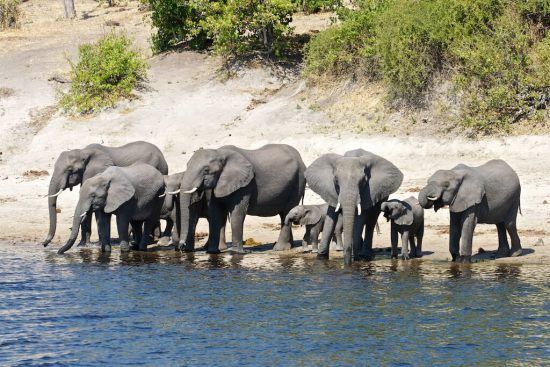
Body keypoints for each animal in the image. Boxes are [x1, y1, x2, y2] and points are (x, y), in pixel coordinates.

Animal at [178, 145, 306, 254]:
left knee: (287, 212)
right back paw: (289, 246)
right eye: (187, 165)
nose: (181, 248)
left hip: (297, 183)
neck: (219, 152)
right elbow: (215, 214)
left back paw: (279, 249)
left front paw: (236, 253)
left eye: (206, 170)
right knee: (284, 215)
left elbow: (237, 214)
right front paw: (212, 252)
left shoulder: (245, 185)